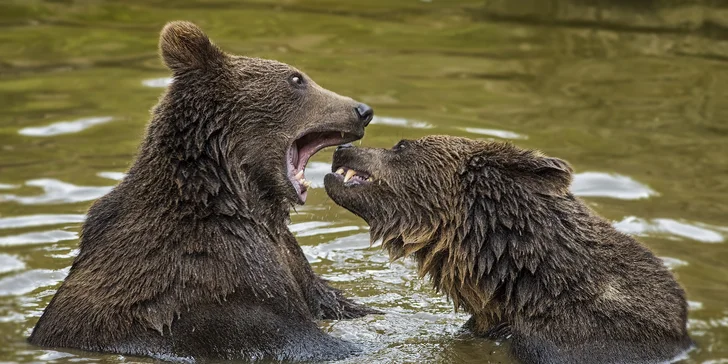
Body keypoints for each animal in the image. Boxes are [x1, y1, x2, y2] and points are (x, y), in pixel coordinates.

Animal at [27, 22, 382, 362]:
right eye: (296, 79)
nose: (362, 110)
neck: (238, 195)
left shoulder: (288, 259)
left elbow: (333, 299)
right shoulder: (222, 279)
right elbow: (288, 333)